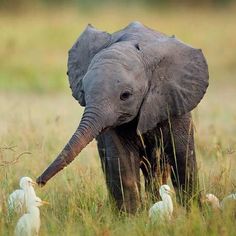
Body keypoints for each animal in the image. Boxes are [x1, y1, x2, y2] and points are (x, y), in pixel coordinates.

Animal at [37, 22, 208, 214]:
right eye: (83, 92)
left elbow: (183, 159)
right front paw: (131, 217)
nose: (39, 182)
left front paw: (194, 213)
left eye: (125, 95)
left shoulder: (174, 101)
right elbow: (122, 160)